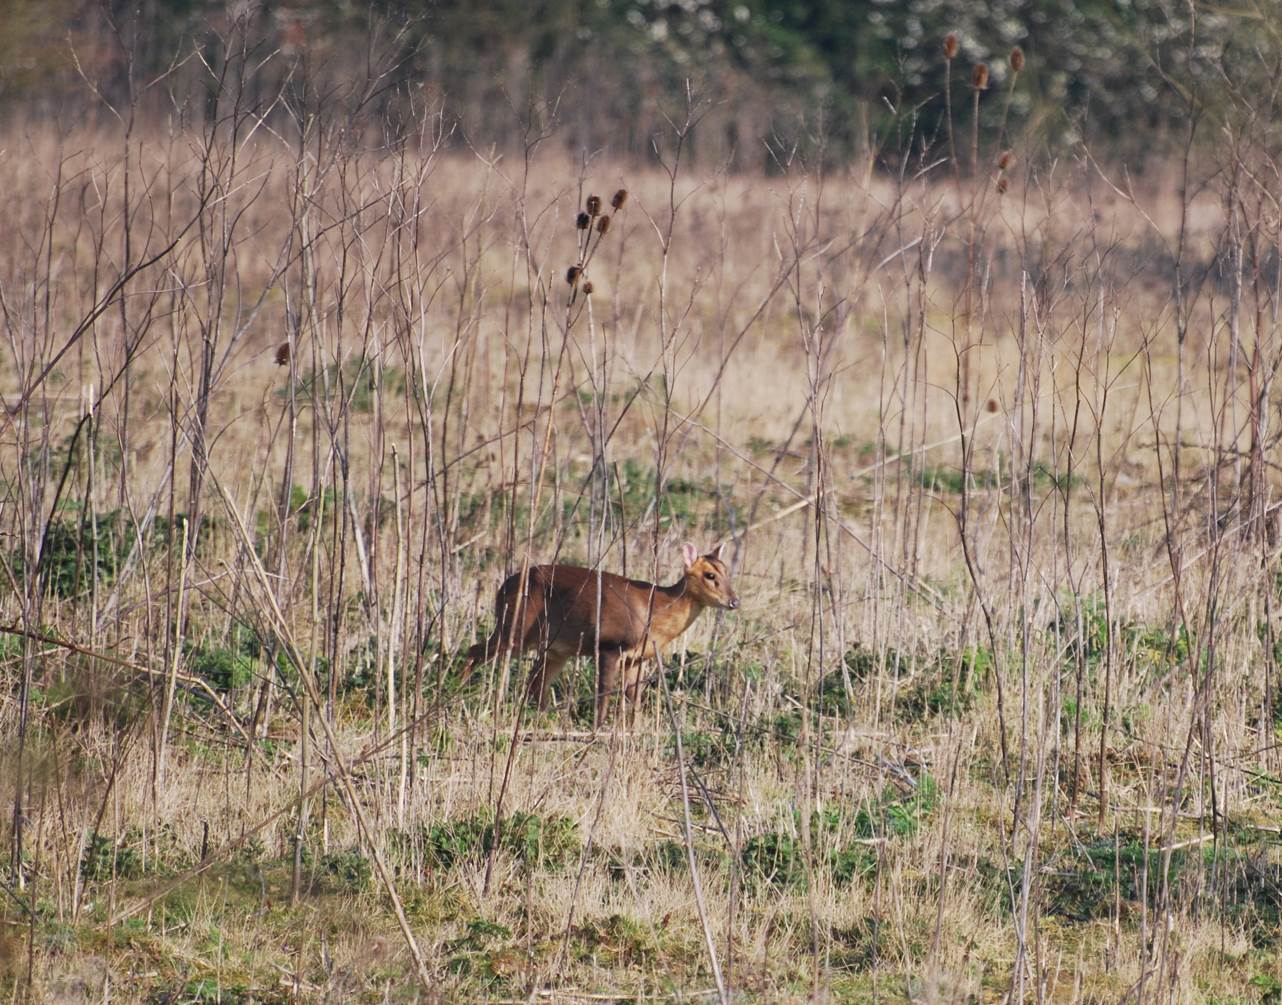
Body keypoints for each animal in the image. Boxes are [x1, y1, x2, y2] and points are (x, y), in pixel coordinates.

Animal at [458, 543, 739, 727]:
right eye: (709, 575)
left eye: (727, 572)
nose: (734, 601)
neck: (654, 610)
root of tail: (502, 588)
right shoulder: (608, 645)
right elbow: (604, 690)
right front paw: (598, 727)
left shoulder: (636, 659)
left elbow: (634, 696)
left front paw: (634, 728)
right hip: (515, 629)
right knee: (475, 650)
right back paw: (456, 690)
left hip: (555, 648)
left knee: (535, 683)